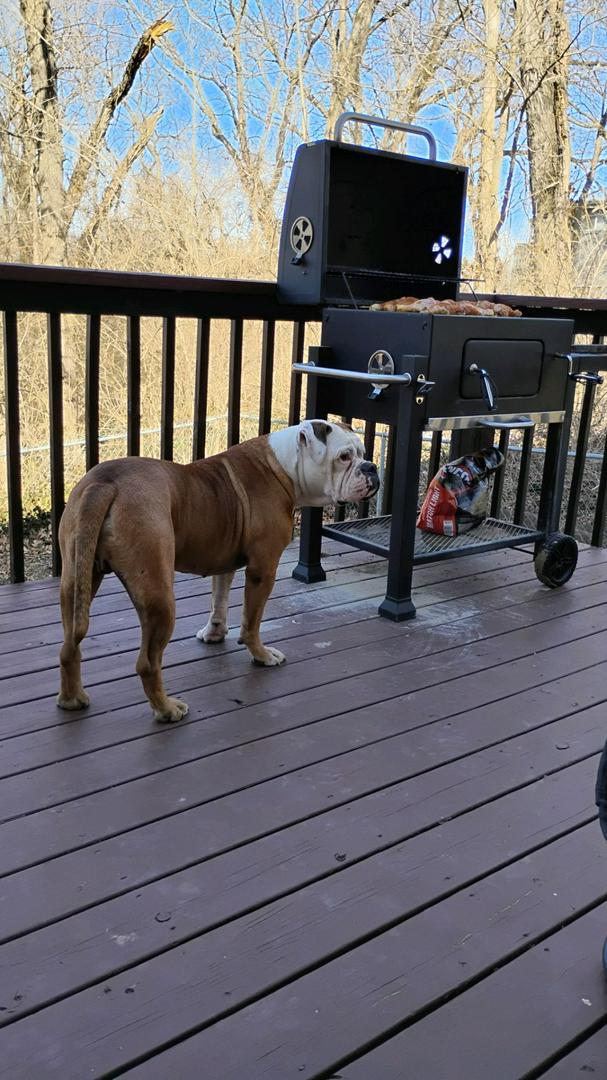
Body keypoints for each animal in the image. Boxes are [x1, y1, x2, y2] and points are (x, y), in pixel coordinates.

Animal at [57, 420, 379, 722]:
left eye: (363, 453)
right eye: (344, 457)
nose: (372, 467)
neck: (286, 466)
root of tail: (106, 483)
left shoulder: (224, 562)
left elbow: (219, 601)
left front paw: (214, 634)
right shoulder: (263, 569)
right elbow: (252, 622)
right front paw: (261, 655)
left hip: (76, 582)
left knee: (69, 647)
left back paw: (72, 699)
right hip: (159, 596)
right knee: (147, 663)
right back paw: (166, 709)